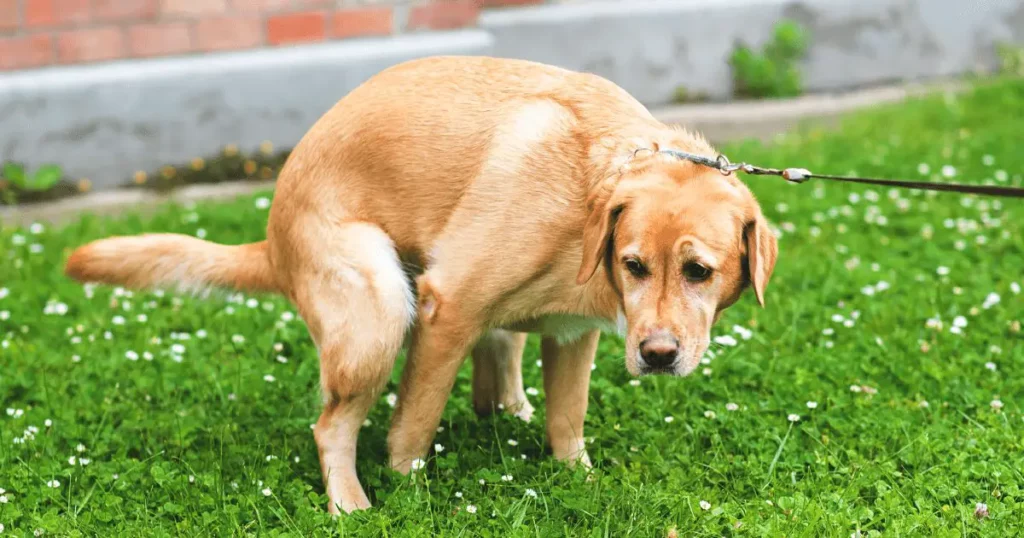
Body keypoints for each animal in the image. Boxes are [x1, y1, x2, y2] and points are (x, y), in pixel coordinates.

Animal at [64, 54, 774, 512]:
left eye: (699, 271)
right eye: (634, 265)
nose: (657, 356)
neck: (589, 192)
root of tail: (273, 239)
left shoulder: (574, 337)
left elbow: (567, 422)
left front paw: (580, 479)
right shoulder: (447, 307)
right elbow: (413, 425)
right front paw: (409, 490)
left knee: (500, 363)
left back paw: (508, 410)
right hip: (378, 312)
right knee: (332, 427)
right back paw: (350, 503)